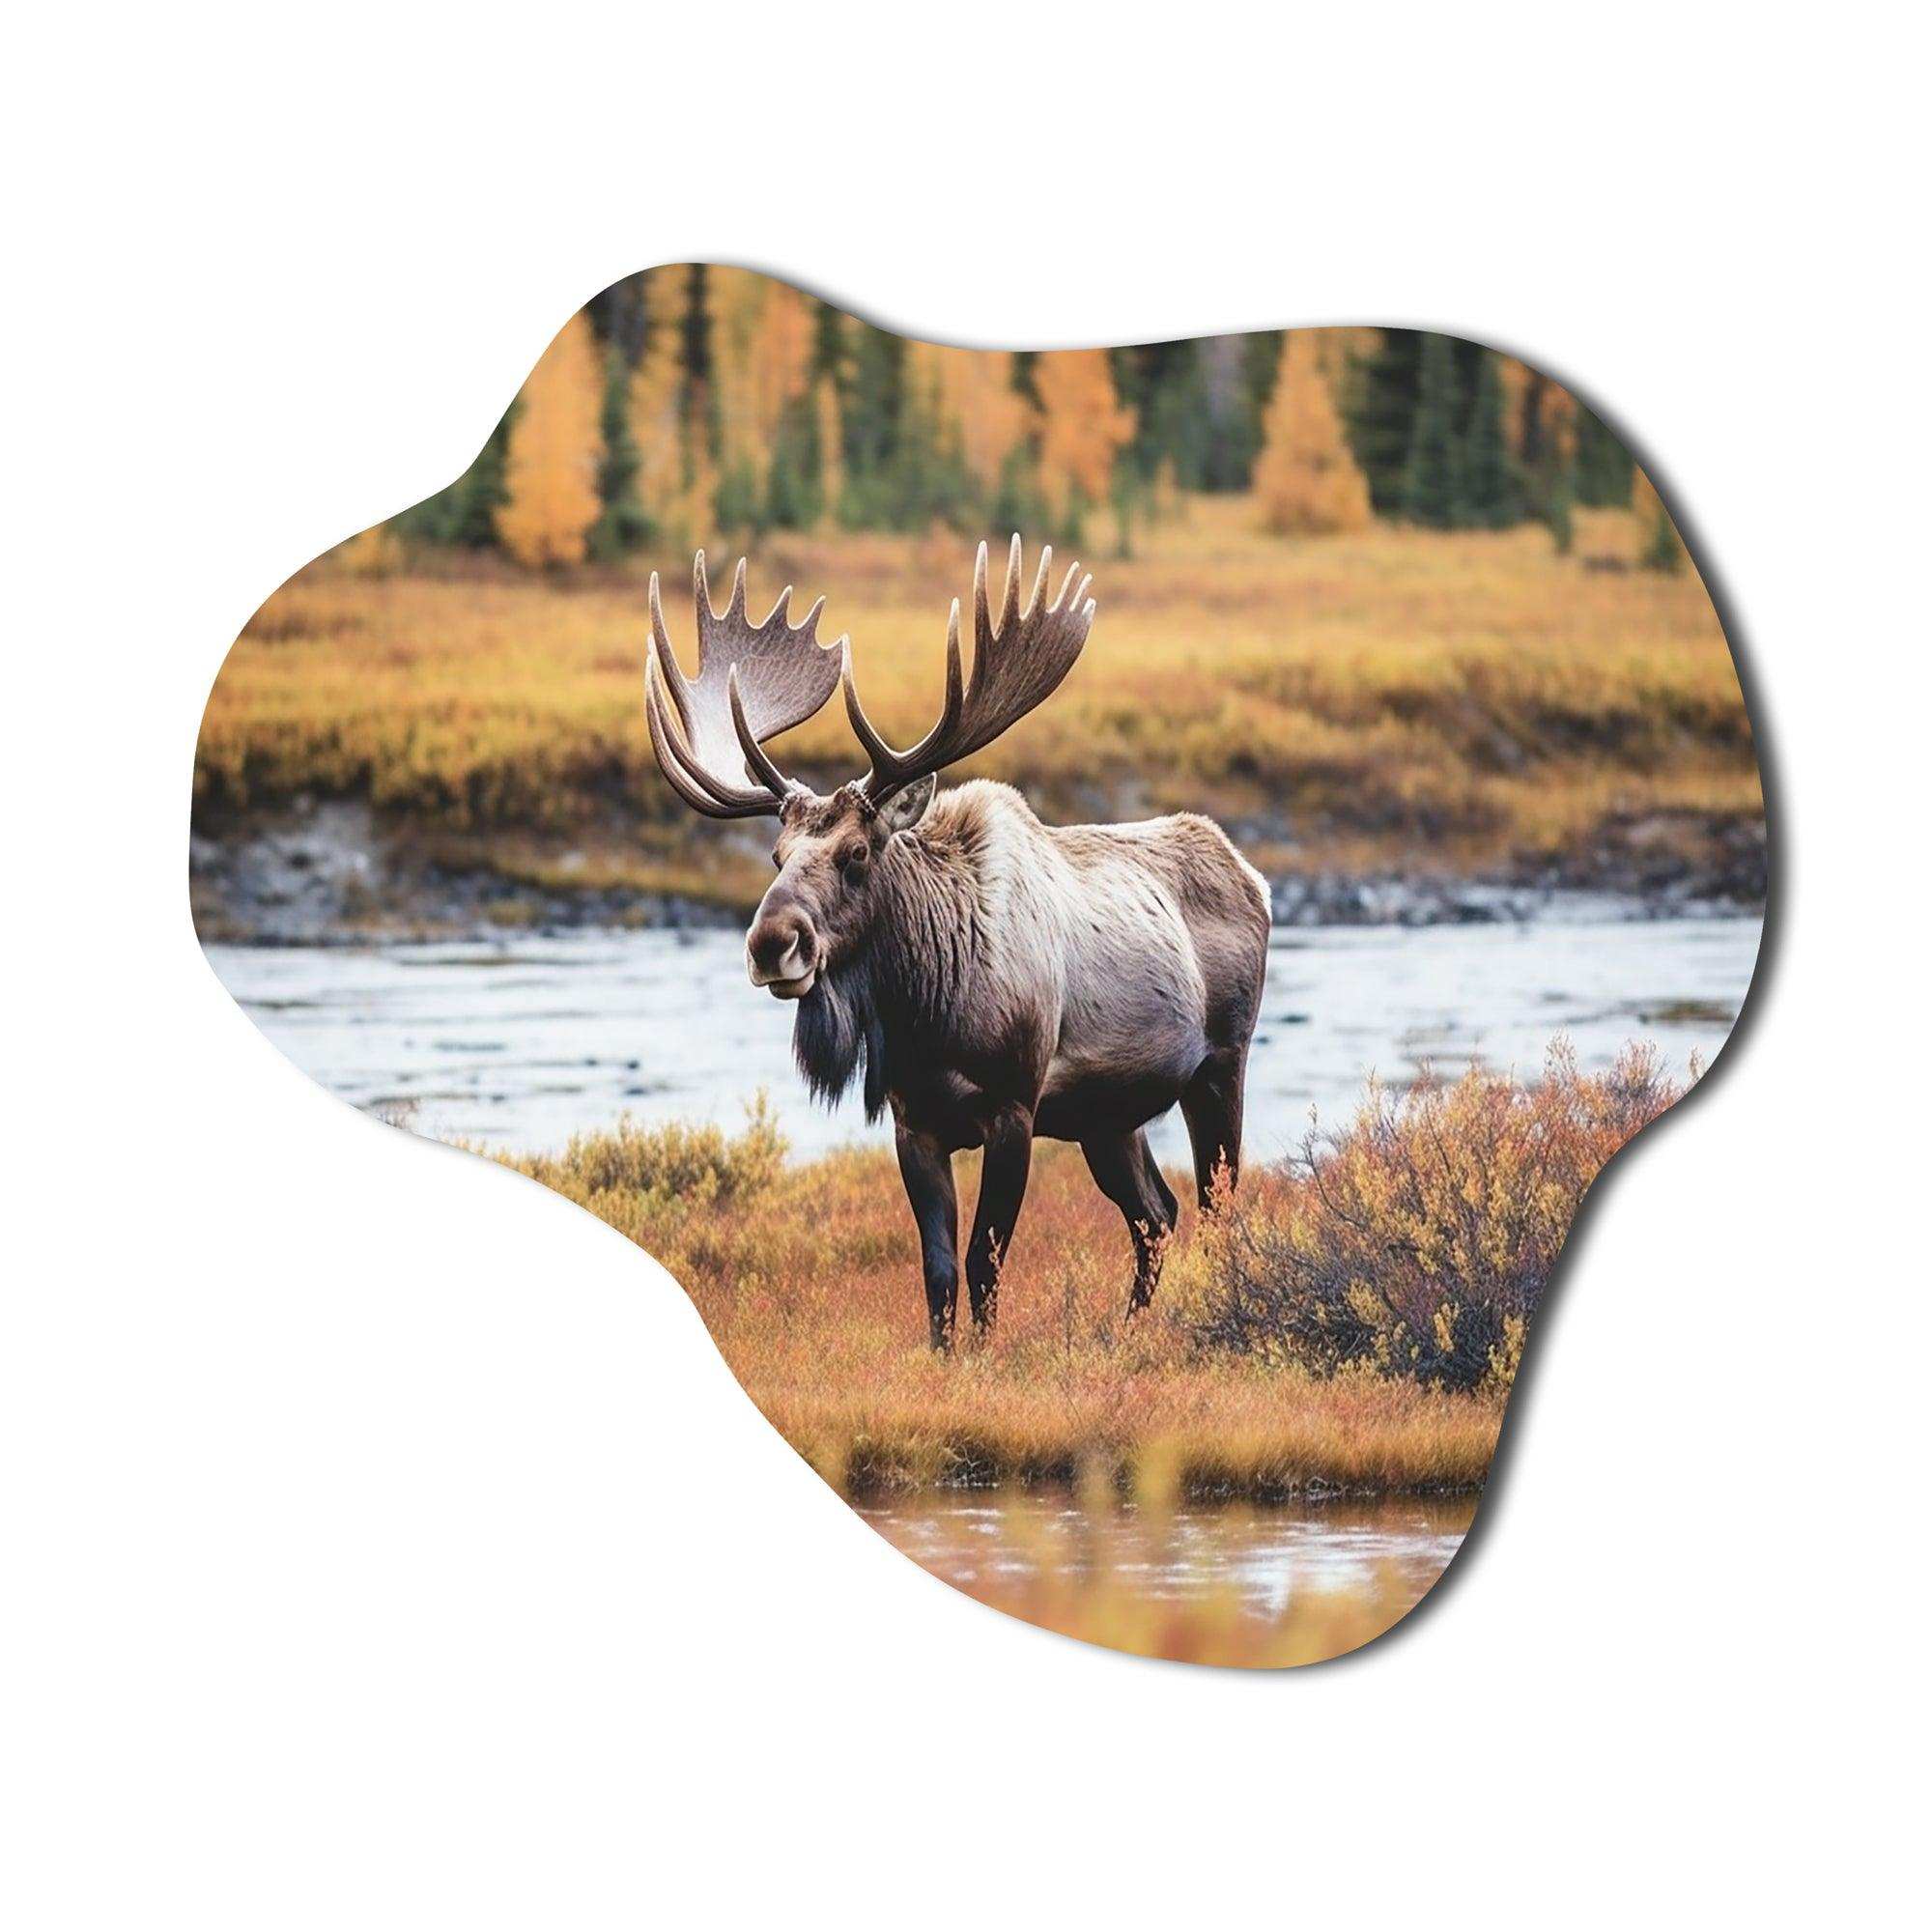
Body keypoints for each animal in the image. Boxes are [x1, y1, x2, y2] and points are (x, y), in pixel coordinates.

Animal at [643, 537, 1271, 1350]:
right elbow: (938, 1271)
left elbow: (983, 1261)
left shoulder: (1014, 1107)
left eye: (857, 853)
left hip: (1221, 1064)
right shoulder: (914, 1122)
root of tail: (1253, 875)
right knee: (1155, 1215)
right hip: (1107, 1115)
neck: (926, 1014)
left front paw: (984, 1359)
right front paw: (947, 1359)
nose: (771, 944)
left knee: (1219, 1209)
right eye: (777, 856)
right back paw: (1126, 1333)